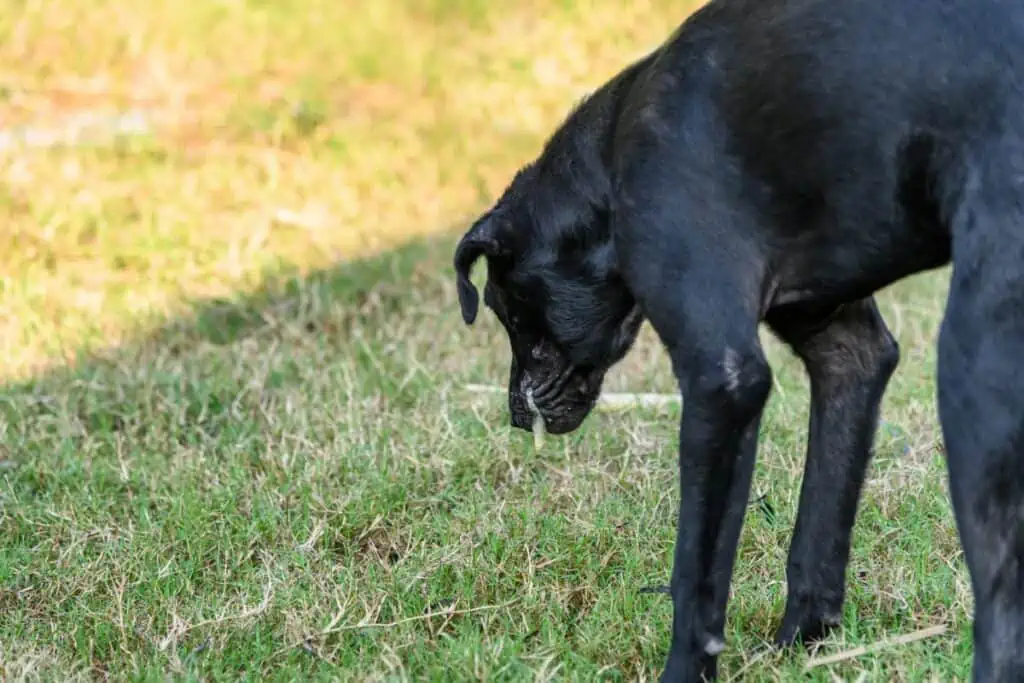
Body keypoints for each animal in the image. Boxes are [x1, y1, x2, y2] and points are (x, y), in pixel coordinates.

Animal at [452, 1, 1024, 679]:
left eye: (507, 312)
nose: (517, 415)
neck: (608, 162)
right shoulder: (845, 350)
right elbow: (818, 530)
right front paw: (802, 644)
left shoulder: (721, 380)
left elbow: (696, 574)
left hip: (975, 376)